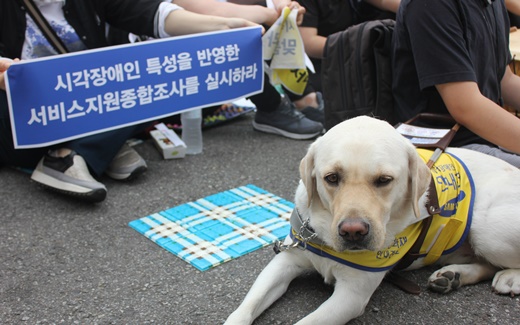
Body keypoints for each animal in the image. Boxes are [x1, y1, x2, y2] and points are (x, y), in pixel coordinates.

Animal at [225, 115, 520, 322]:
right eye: (332, 177)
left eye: (384, 180)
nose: (353, 231)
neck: (324, 232)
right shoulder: (284, 261)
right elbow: (244, 308)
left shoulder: (351, 295)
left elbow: (307, 322)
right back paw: (452, 276)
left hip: (486, 229)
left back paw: (508, 278)